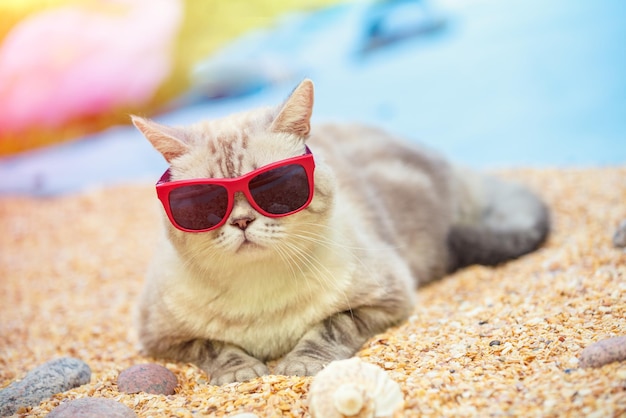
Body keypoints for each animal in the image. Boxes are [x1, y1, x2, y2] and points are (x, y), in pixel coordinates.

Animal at [132, 78, 544, 386]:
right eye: (202, 203)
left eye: (275, 187)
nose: (242, 222)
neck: (260, 293)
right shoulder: (160, 338)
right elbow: (214, 346)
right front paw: (241, 371)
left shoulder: (386, 299)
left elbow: (330, 326)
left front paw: (299, 364)